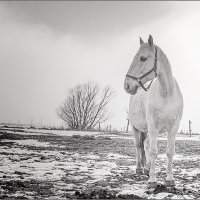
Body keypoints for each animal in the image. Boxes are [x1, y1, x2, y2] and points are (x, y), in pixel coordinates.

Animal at [124, 35, 184, 188]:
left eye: (143, 58)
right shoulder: (152, 125)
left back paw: (146, 168)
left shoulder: (173, 127)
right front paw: (152, 180)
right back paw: (139, 168)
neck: (166, 94)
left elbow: (169, 152)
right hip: (135, 128)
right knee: (139, 147)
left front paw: (170, 179)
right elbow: (153, 151)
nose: (127, 85)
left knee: (145, 145)